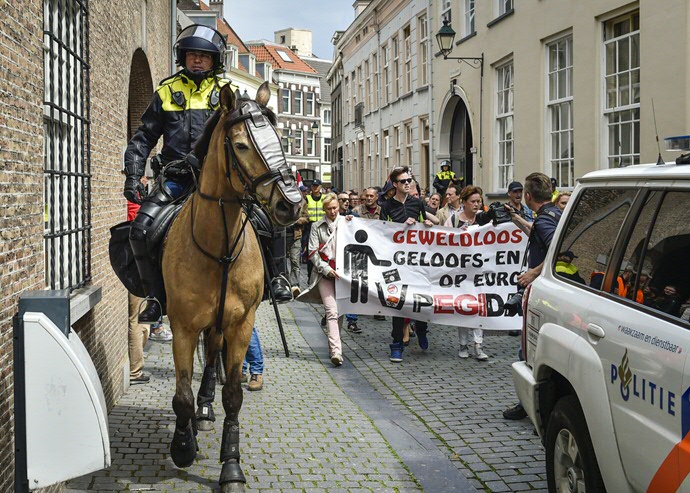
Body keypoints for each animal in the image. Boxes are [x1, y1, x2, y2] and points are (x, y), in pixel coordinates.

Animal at [161, 81, 302, 492]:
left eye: (281, 138)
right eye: (240, 145)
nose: (291, 205)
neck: (219, 249)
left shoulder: (241, 324)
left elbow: (233, 394)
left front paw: (231, 467)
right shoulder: (182, 326)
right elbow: (181, 396)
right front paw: (183, 447)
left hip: (221, 324)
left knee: (212, 362)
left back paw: (207, 410)